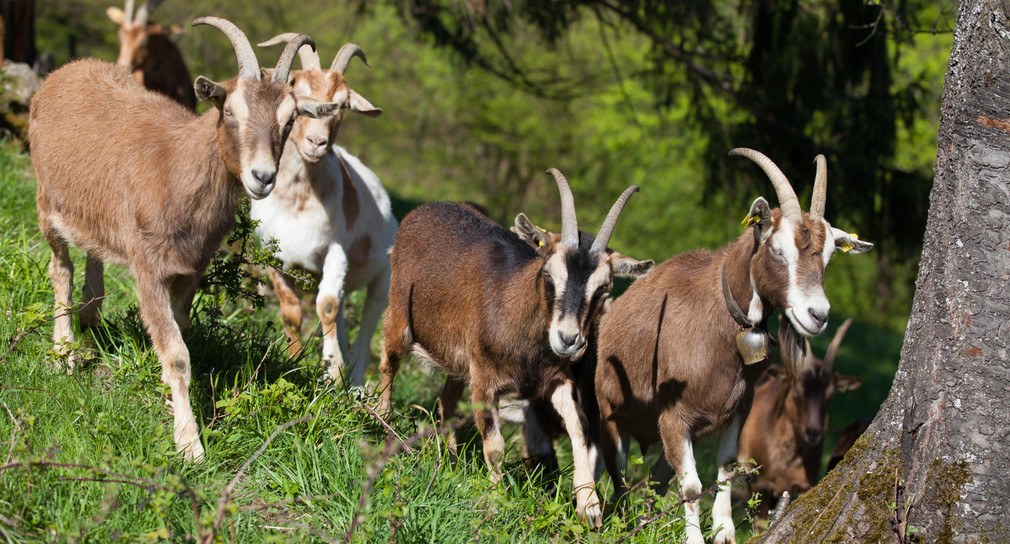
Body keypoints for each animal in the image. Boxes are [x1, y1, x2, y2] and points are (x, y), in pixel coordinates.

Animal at [29, 15, 327, 460]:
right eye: (230, 110)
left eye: (290, 119)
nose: (262, 177)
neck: (176, 166)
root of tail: (64, 72)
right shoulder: (148, 266)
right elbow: (177, 355)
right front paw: (190, 444)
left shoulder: (191, 269)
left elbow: (181, 333)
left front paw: (171, 404)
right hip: (47, 202)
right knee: (60, 267)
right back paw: (64, 351)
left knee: (93, 256)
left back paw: (90, 321)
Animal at [250, 35, 391, 387]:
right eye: (296, 91)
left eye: (342, 105)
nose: (317, 142)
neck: (297, 203)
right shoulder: (274, 255)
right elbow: (292, 311)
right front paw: (295, 361)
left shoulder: (335, 250)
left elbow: (326, 306)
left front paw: (334, 373)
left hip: (383, 278)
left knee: (367, 328)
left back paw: (355, 384)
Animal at [375, 171, 650, 528]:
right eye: (548, 273)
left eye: (604, 288)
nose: (568, 339)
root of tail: (424, 209)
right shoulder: (485, 380)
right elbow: (495, 445)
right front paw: (494, 500)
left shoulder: (554, 379)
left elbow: (578, 425)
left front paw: (588, 505)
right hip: (400, 315)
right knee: (389, 363)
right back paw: (381, 420)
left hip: (459, 361)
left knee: (446, 400)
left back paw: (450, 459)